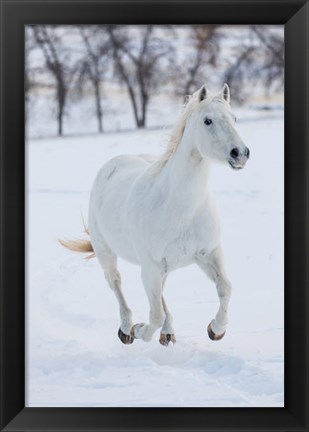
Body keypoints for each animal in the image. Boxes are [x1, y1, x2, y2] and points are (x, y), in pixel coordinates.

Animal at [61, 84, 249, 346]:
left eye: (234, 118)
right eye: (208, 120)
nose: (240, 153)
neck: (182, 209)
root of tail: (113, 164)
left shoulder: (209, 254)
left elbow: (225, 288)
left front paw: (216, 329)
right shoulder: (151, 267)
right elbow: (155, 314)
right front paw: (140, 330)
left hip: (162, 267)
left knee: (160, 296)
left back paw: (167, 332)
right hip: (107, 253)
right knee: (116, 282)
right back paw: (127, 328)